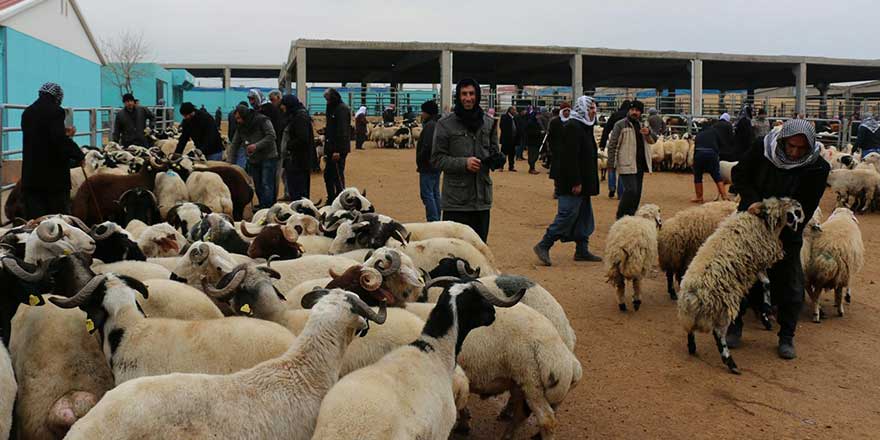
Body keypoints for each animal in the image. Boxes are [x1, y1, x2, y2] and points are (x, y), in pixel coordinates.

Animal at [676, 198, 808, 372]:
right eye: (795, 212)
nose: (801, 211)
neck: (763, 222)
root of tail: (691, 295)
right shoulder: (760, 260)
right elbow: (767, 283)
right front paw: (766, 309)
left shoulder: (755, 265)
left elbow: (765, 283)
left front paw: (765, 312)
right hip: (722, 308)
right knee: (718, 334)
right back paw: (730, 363)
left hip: (692, 316)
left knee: (690, 330)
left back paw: (692, 347)